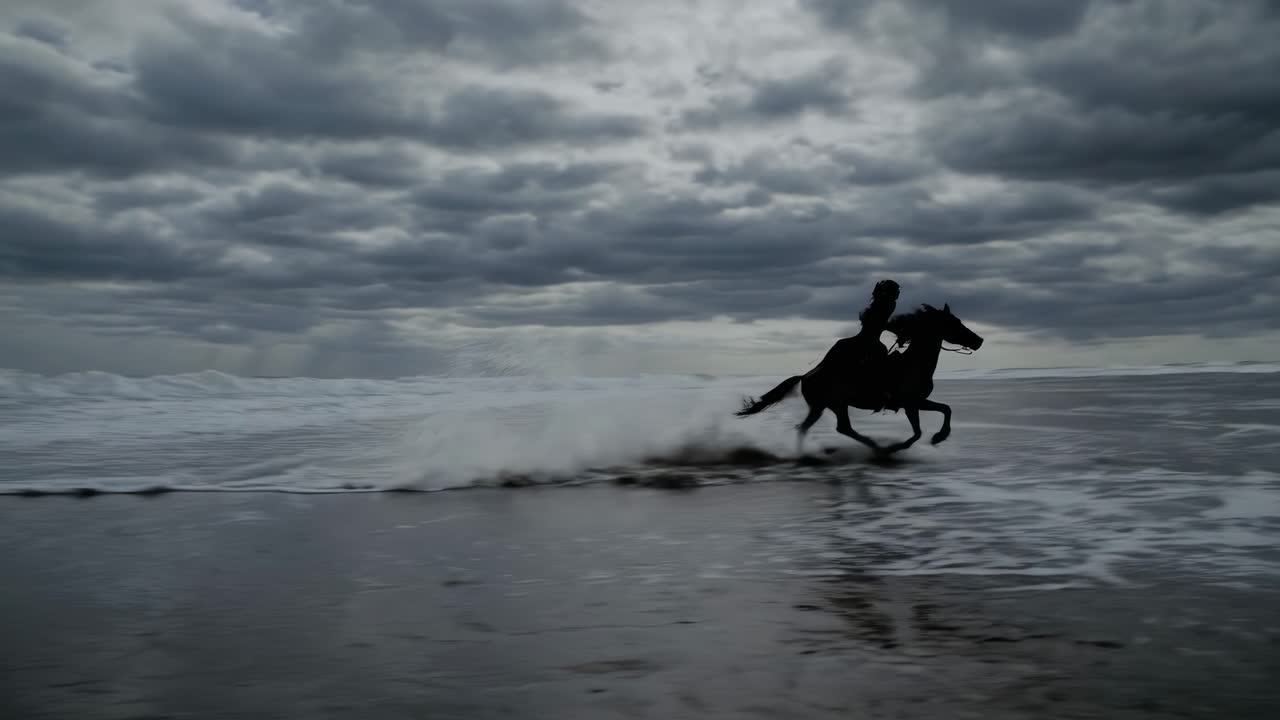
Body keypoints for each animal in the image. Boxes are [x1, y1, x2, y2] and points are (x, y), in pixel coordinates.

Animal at [733, 303, 984, 457]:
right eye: (954, 323)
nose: (979, 340)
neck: (914, 364)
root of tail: (805, 376)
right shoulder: (910, 403)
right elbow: (919, 431)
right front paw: (901, 446)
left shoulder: (917, 402)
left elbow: (945, 409)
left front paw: (939, 437)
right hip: (830, 404)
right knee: (829, 427)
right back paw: (874, 448)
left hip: (828, 406)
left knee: (829, 428)